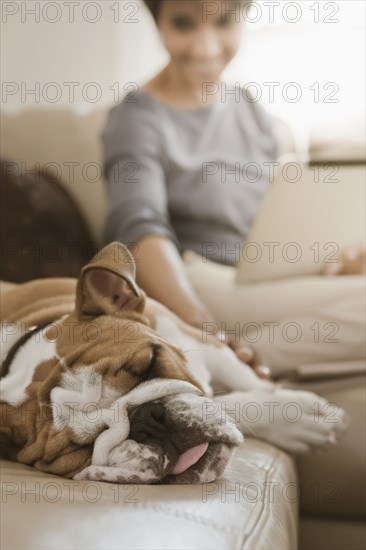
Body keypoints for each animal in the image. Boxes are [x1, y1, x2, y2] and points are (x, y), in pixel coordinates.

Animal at [0, 244, 348, 486]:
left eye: (151, 363)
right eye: (78, 447)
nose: (147, 419)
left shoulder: (203, 343)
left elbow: (246, 384)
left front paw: (286, 405)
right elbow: (230, 402)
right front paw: (297, 419)